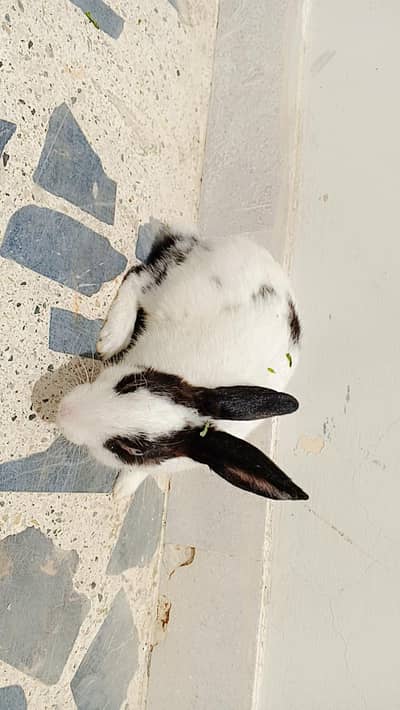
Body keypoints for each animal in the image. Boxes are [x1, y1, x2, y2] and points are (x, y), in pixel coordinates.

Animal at [57, 219, 308, 501]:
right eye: (129, 384)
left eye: (129, 450)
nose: (65, 411)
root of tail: (200, 242)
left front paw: (122, 491)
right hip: (165, 290)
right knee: (137, 277)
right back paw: (112, 340)